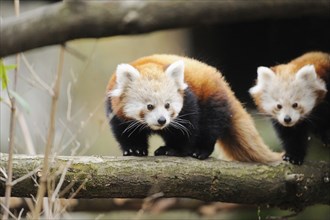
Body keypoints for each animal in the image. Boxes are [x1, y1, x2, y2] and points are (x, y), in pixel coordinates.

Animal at [105, 54, 282, 162]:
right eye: (149, 106)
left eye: (167, 105)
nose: (162, 120)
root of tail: (224, 84)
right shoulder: (115, 109)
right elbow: (124, 131)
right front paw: (134, 149)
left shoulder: (188, 98)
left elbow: (187, 129)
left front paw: (174, 150)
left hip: (212, 100)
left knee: (210, 127)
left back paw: (200, 150)